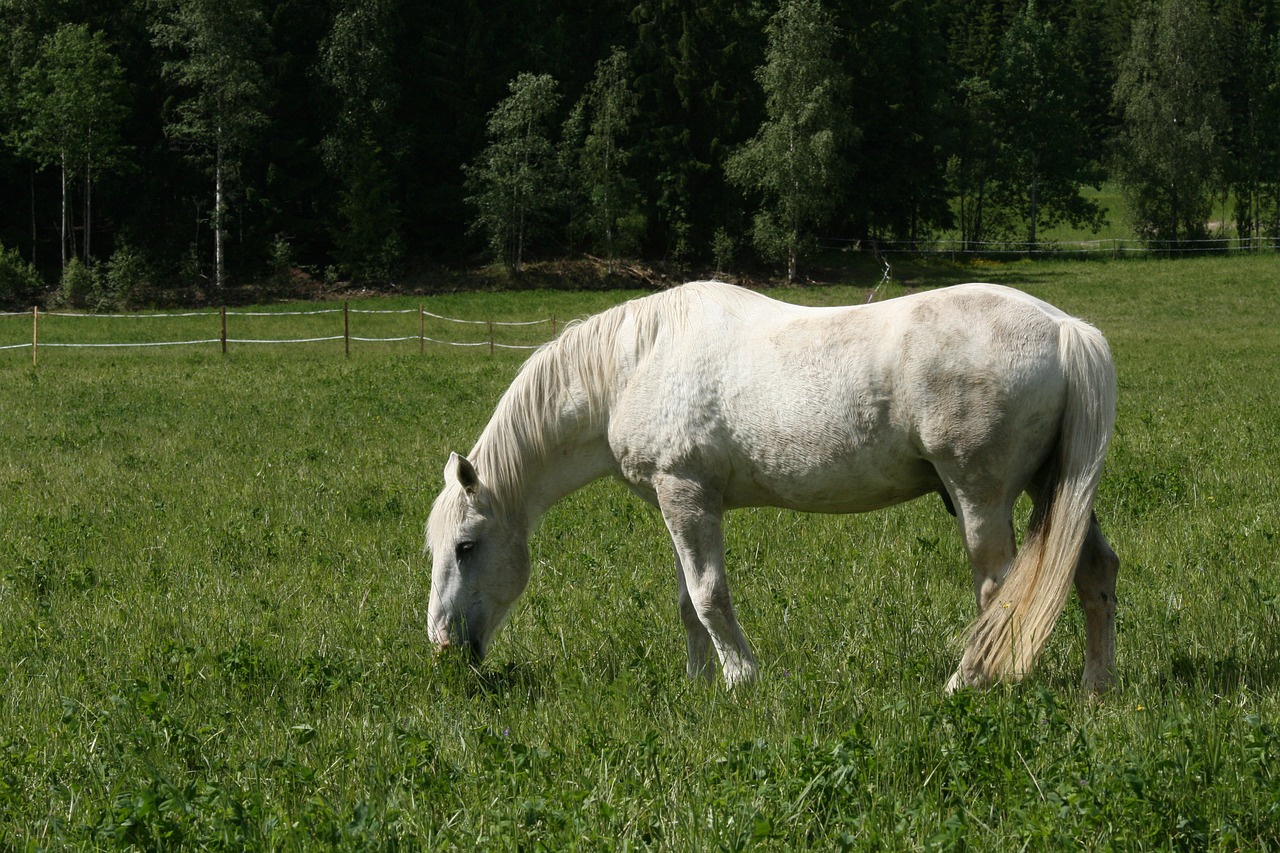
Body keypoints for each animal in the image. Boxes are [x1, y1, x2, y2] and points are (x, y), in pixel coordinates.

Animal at [424, 279, 1116, 691]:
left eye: (465, 547)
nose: (443, 647)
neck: (634, 364)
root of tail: (1066, 329)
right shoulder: (683, 504)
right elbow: (689, 602)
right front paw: (700, 684)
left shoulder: (686, 495)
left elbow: (708, 597)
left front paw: (741, 680)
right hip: (1055, 490)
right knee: (1093, 572)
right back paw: (1096, 687)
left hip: (981, 498)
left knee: (997, 590)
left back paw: (965, 684)